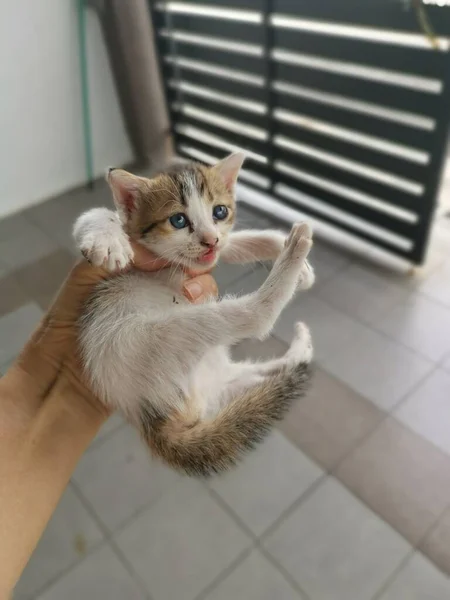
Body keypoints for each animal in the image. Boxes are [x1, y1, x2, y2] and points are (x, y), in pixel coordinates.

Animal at [72, 152, 314, 476]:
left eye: (220, 212)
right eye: (178, 220)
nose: (210, 240)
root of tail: (148, 418)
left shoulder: (208, 256)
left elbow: (236, 243)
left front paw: (293, 259)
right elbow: (94, 215)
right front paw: (108, 241)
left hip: (218, 384)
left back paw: (300, 348)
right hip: (159, 339)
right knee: (255, 316)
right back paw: (295, 249)